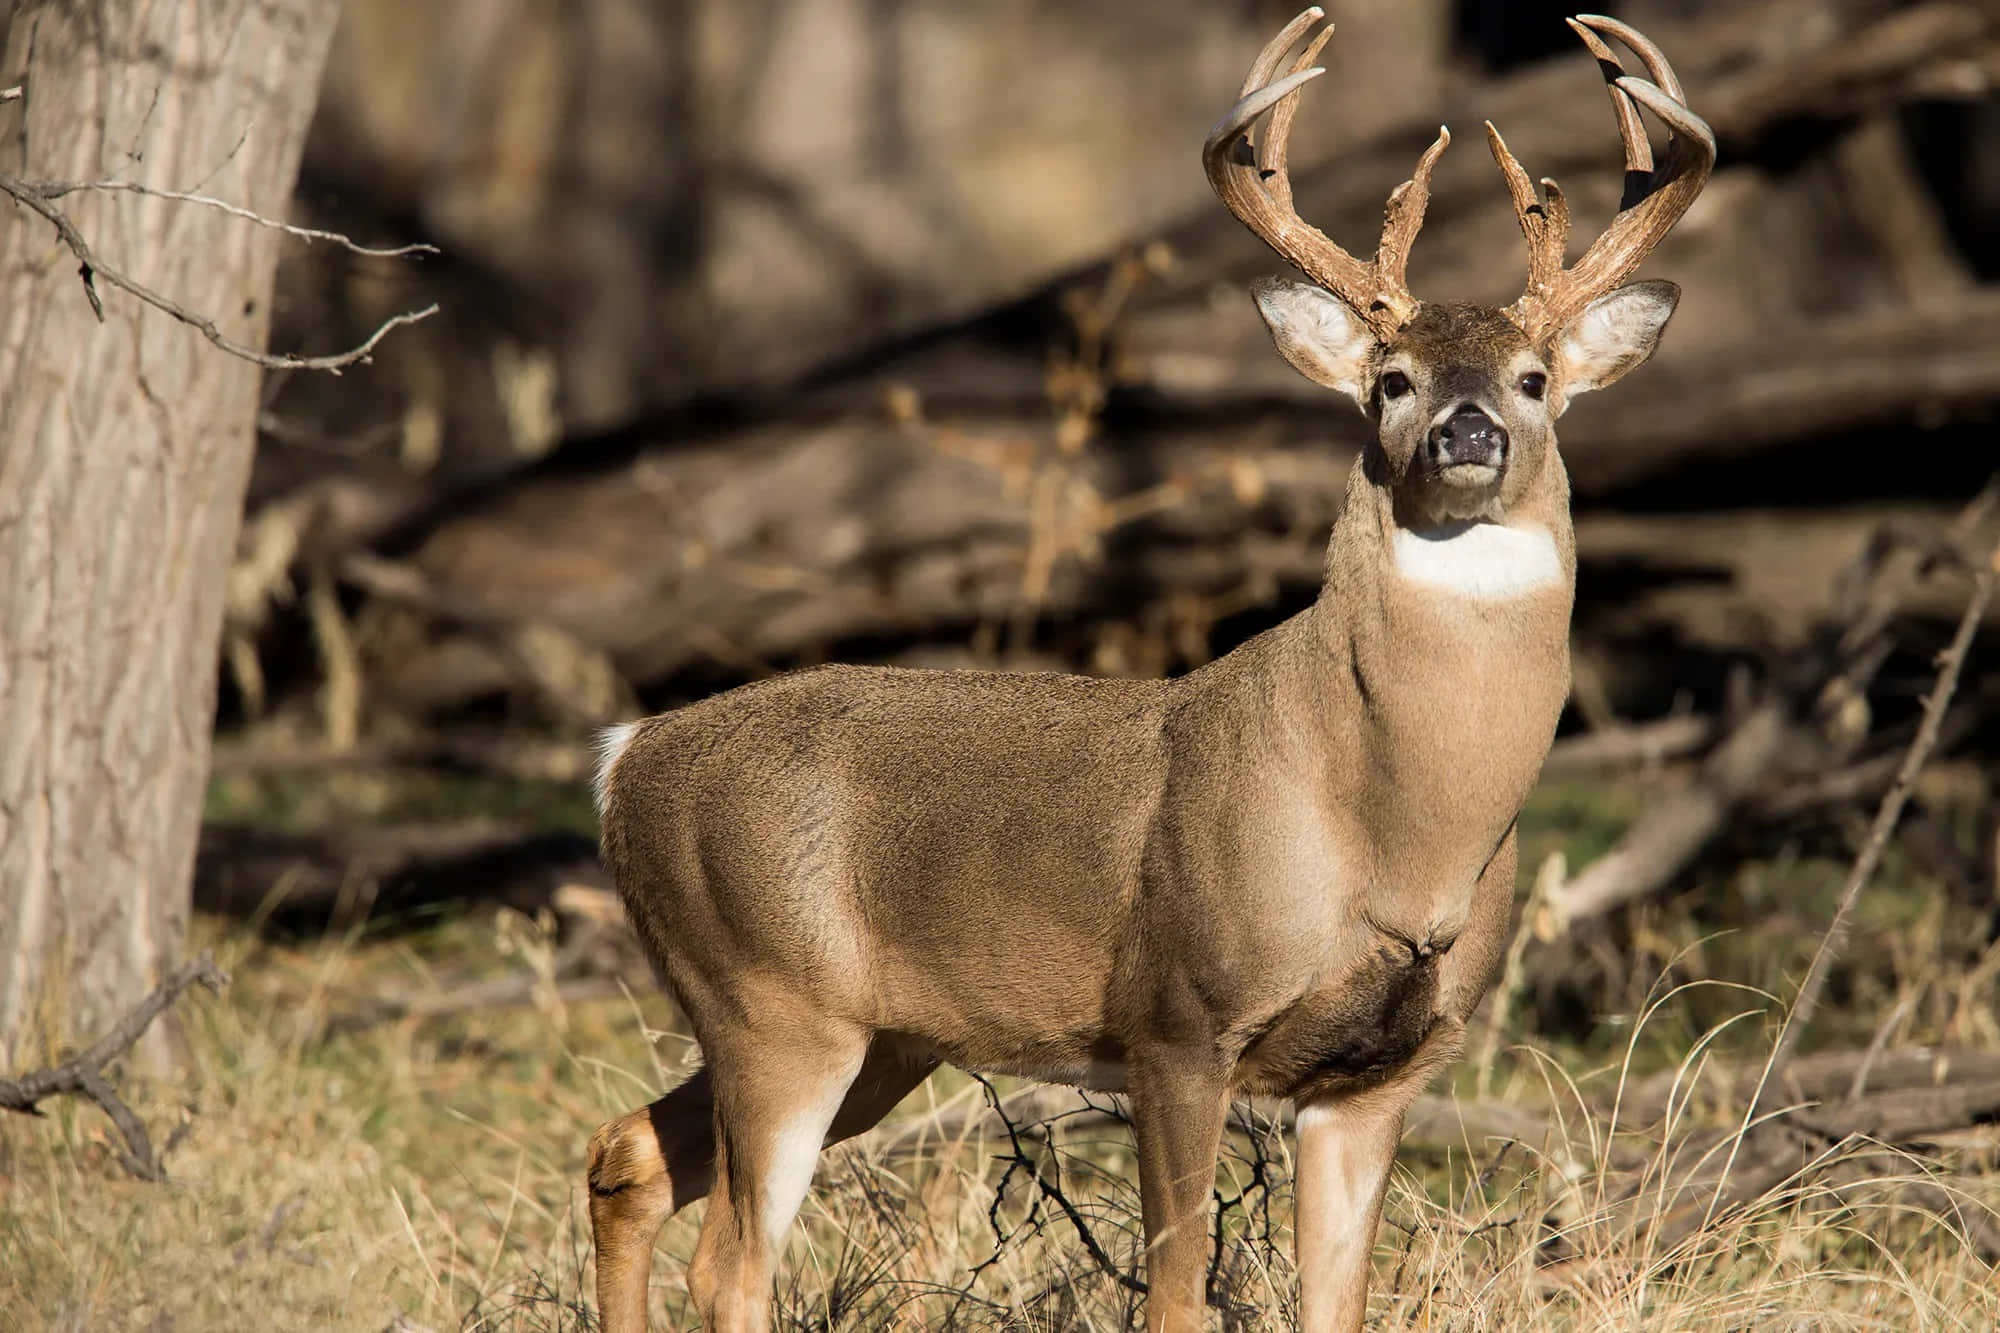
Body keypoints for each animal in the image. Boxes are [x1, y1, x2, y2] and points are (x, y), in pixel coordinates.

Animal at [583, 10, 1712, 1332]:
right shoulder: (1176, 1016)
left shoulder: (1382, 1071)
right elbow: (1175, 1293)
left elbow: (1334, 1301)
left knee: (623, 1154)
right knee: (729, 1257)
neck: (1397, 833)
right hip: (769, 997)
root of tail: (621, 763)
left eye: (1533, 378)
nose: (1466, 426)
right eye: (1391, 379)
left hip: (877, 1035)